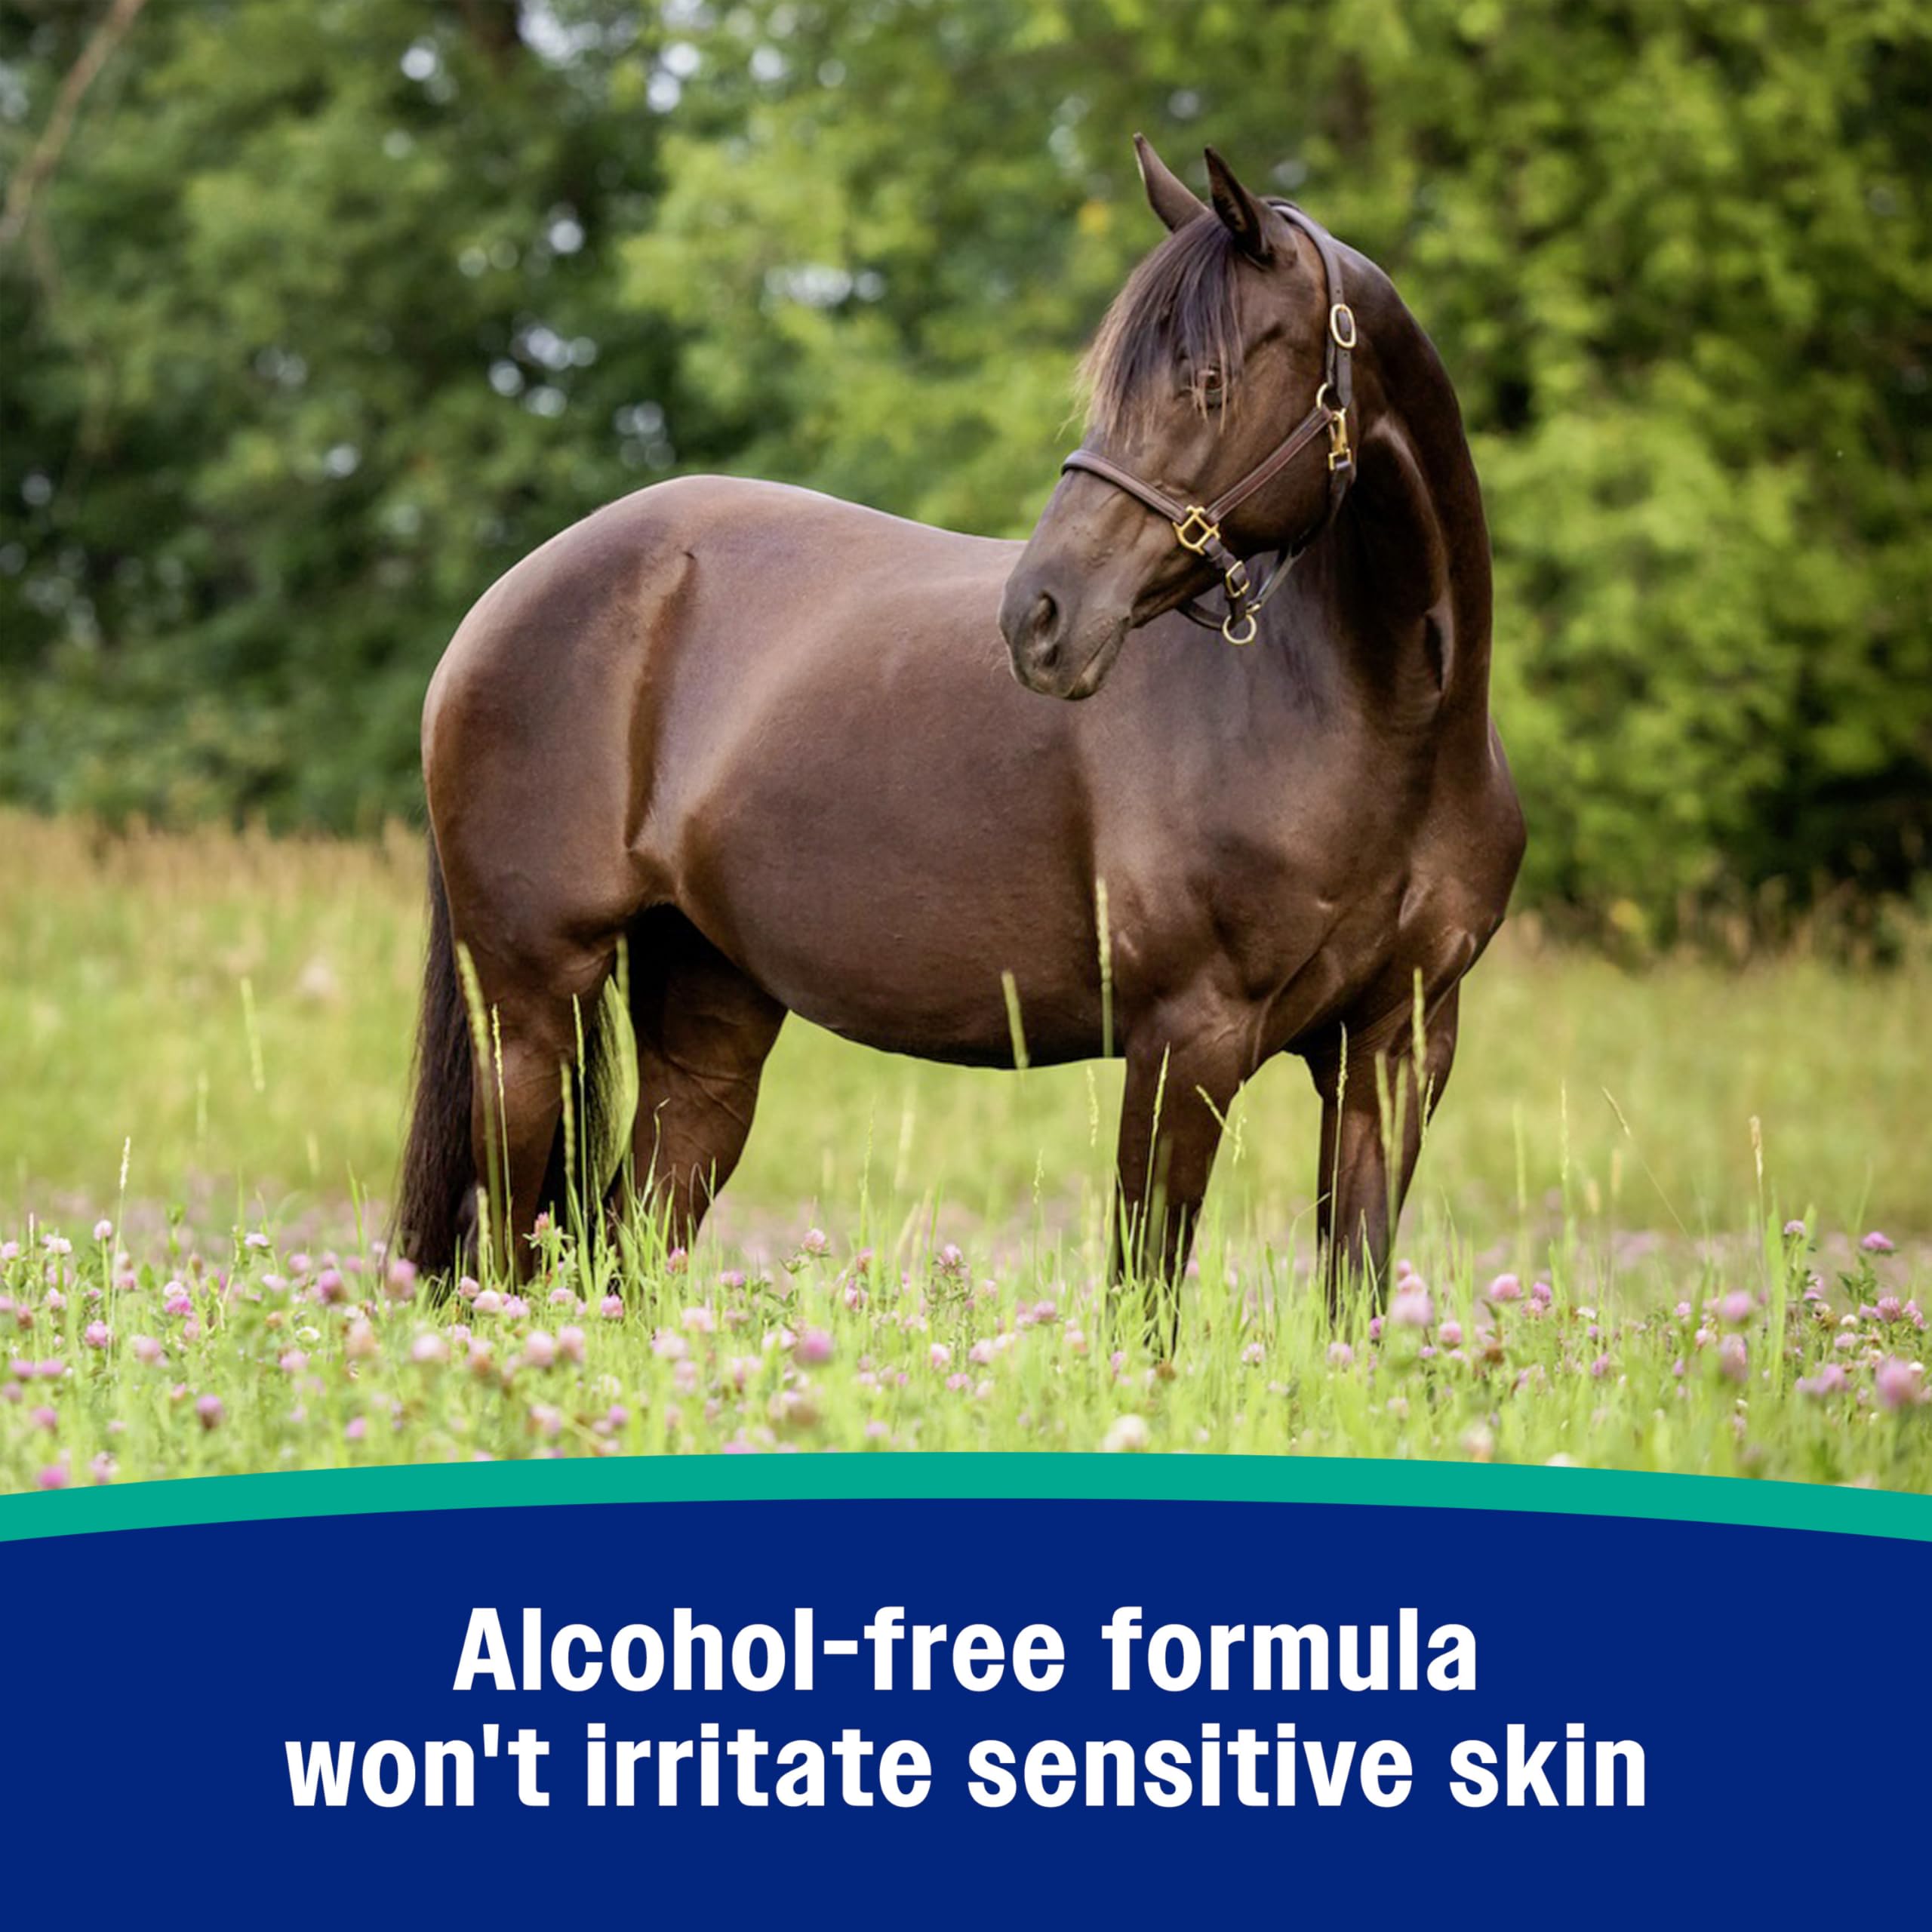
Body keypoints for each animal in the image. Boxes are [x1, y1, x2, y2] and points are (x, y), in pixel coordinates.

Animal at [396, 137, 1525, 1337]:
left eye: (1210, 381)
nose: (1041, 617)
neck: (1380, 721)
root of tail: (504, 602)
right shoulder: (1189, 1037)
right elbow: (1144, 1301)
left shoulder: (1396, 1049)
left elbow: (1356, 1295)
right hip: (529, 1009)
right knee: (505, 1251)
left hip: (707, 1019)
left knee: (633, 1242)